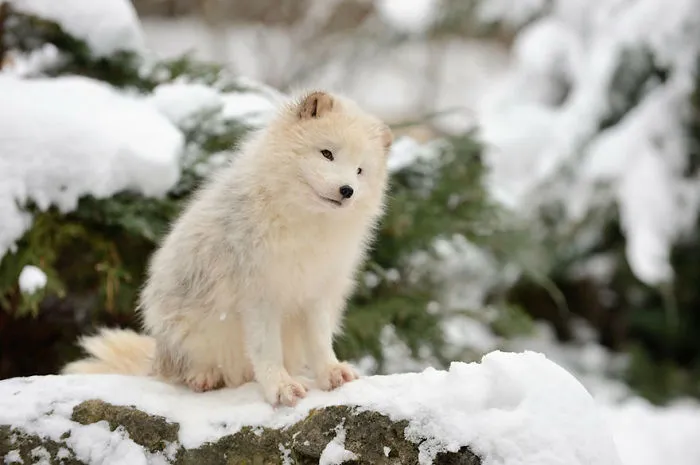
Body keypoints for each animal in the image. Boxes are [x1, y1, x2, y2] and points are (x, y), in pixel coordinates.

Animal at [62, 90, 393, 407]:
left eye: (360, 170)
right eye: (327, 153)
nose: (347, 190)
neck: (306, 225)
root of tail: (157, 358)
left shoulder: (317, 293)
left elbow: (321, 342)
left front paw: (331, 373)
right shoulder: (260, 296)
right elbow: (266, 350)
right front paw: (281, 388)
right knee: (183, 373)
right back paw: (203, 377)